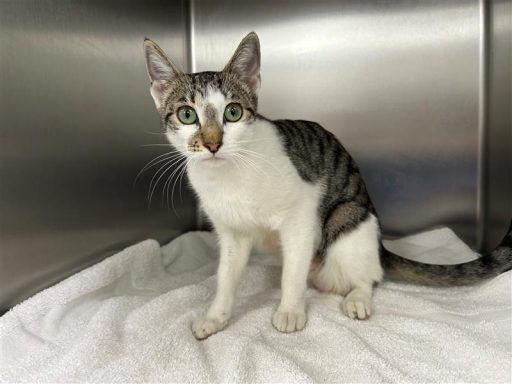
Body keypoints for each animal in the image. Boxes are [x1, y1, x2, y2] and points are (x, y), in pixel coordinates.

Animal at [143, 32, 512, 340]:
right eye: (187, 115)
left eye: (232, 112)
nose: (212, 144)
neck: (228, 177)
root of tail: (380, 245)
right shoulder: (232, 234)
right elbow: (226, 278)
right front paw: (216, 317)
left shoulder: (301, 218)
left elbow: (291, 275)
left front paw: (290, 310)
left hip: (348, 220)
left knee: (369, 275)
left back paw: (358, 298)